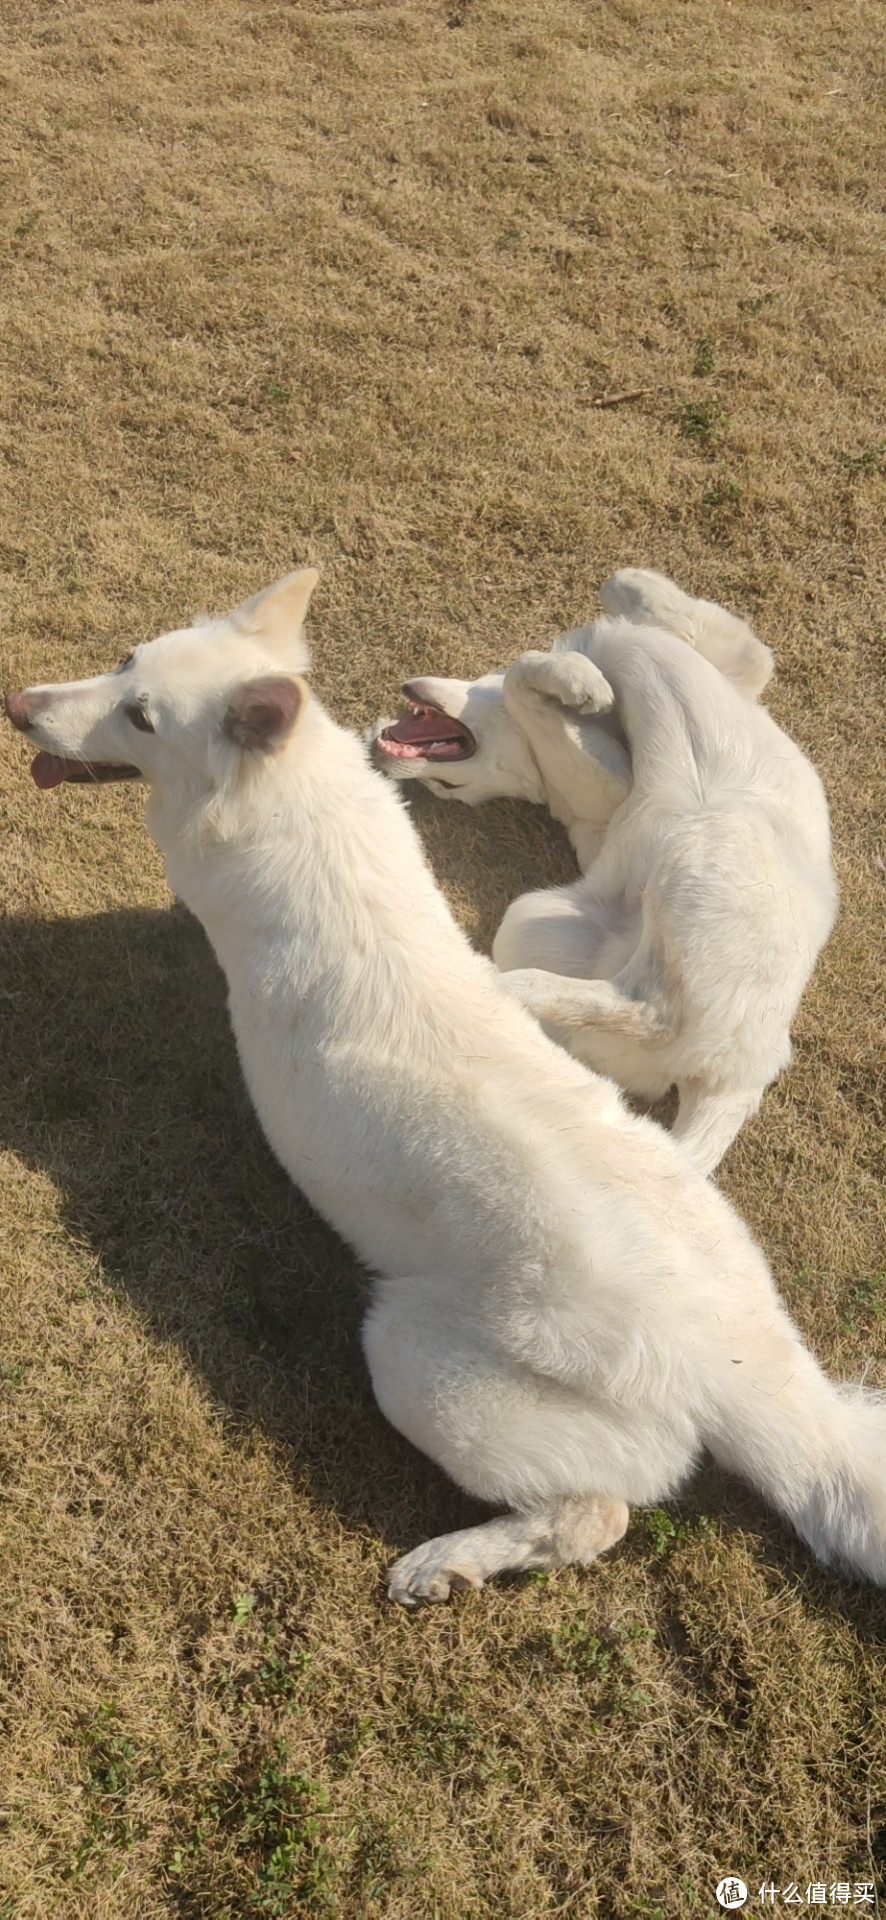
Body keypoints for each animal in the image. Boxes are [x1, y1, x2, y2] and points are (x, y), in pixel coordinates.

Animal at [370, 564, 834, 1167]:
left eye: (448, 787)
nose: (377, 757)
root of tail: (738, 1079)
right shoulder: (615, 779)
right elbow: (526, 670)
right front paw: (581, 682)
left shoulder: (739, 662)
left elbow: (620, 594)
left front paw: (607, 638)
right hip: (669, 857)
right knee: (648, 1009)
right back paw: (512, 989)